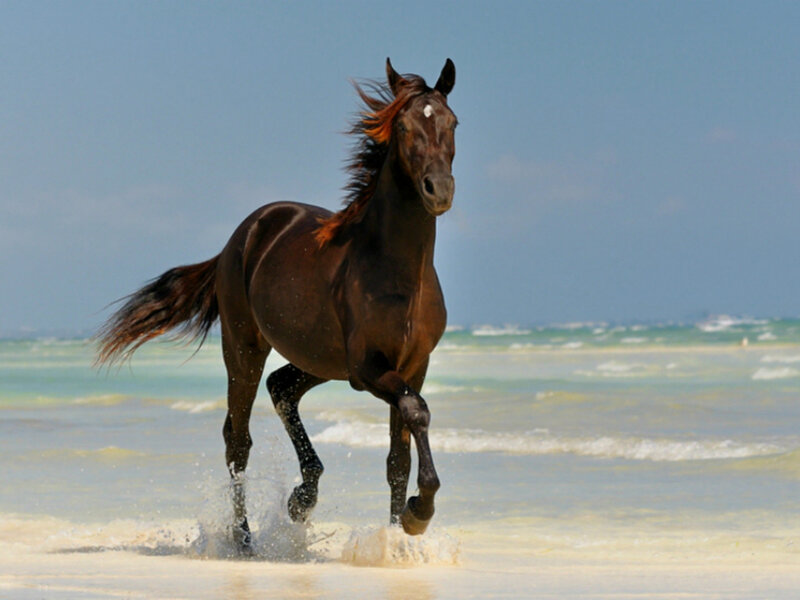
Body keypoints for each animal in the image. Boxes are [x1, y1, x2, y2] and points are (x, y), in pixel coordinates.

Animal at [97, 58, 457, 551]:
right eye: (403, 127)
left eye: (452, 123)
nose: (439, 190)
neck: (397, 271)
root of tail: (244, 234)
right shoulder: (368, 368)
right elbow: (416, 411)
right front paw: (418, 513)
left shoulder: (413, 364)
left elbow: (398, 456)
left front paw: (398, 539)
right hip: (245, 347)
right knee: (238, 438)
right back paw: (244, 538)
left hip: (320, 359)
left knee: (281, 388)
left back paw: (302, 498)